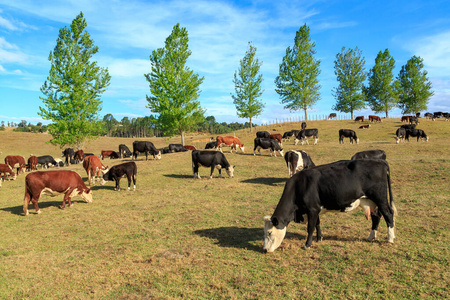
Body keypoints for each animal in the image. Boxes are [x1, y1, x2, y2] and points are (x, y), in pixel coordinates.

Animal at [262, 158, 396, 252]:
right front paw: (319, 238)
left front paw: (307, 244)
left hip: (381, 198)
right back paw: (371, 236)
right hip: (371, 201)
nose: (265, 250)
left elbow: (310, 227)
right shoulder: (316, 209)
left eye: (269, 233)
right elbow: (317, 224)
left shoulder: (312, 209)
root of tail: (380, 161)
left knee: (388, 214)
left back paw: (390, 239)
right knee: (376, 216)